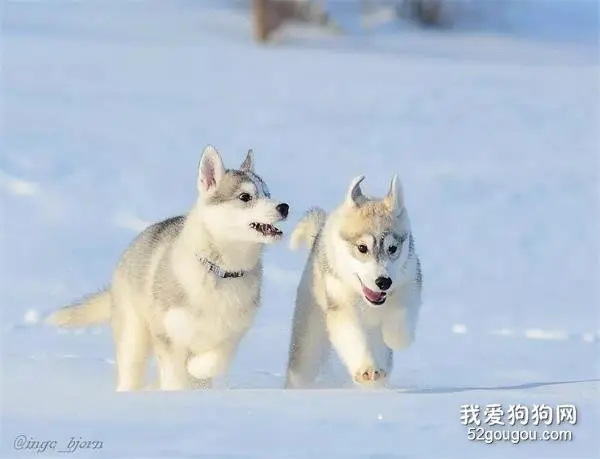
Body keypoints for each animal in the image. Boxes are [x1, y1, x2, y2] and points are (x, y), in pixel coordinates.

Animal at [47, 146, 290, 392]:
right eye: (245, 196)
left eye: (268, 193)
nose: (284, 207)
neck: (220, 272)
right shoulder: (167, 333)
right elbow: (175, 376)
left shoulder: (232, 334)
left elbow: (213, 361)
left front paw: (196, 371)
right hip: (134, 337)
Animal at [284, 174, 422, 390]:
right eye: (362, 247)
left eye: (392, 248)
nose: (383, 282)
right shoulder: (342, 306)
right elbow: (353, 336)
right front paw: (367, 370)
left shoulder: (410, 280)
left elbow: (402, 314)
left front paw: (396, 338)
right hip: (308, 339)